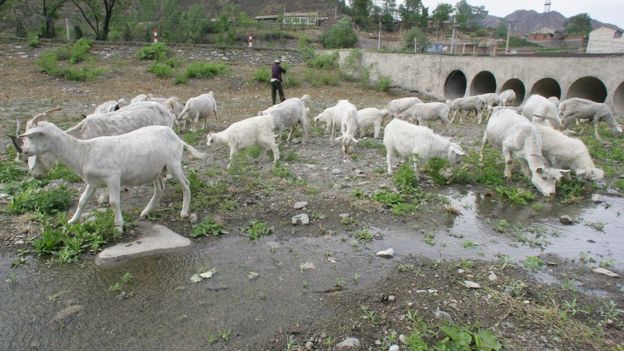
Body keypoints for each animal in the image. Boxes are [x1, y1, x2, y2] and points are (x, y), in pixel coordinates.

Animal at [12, 118, 206, 234]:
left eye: (34, 136)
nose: (25, 151)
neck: (83, 152)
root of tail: (178, 138)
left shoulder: (113, 177)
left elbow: (113, 202)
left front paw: (119, 226)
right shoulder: (93, 182)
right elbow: (82, 200)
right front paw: (72, 221)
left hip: (173, 163)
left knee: (186, 184)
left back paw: (184, 212)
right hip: (156, 169)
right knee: (160, 189)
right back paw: (146, 211)